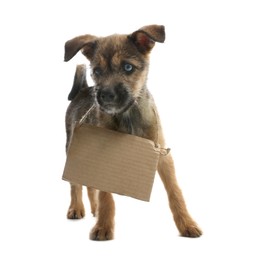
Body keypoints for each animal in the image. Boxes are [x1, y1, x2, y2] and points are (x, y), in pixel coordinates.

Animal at [64, 24, 203, 240]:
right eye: (97, 71)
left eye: (128, 67)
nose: (106, 95)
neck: (128, 114)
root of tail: (82, 90)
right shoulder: (105, 157)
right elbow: (106, 195)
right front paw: (103, 227)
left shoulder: (161, 154)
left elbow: (175, 191)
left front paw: (187, 224)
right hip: (72, 148)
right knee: (76, 184)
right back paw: (76, 208)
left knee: (89, 185)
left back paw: (94, 210)